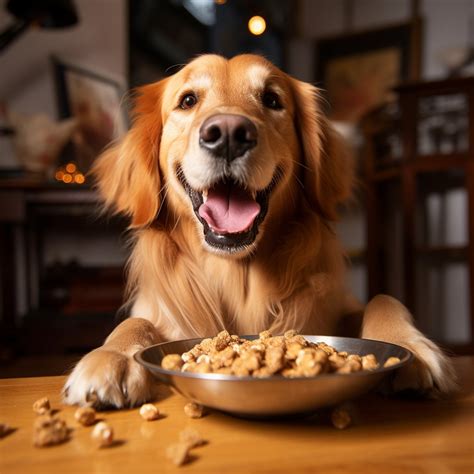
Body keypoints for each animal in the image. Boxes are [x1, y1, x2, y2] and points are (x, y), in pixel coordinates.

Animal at [63, 52, 456, 408]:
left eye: (272, 99)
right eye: (187, 100)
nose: (228, 134)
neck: (238, 273)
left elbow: (383, 299)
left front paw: (409, 346)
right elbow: (135, 323)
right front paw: (111, 357)